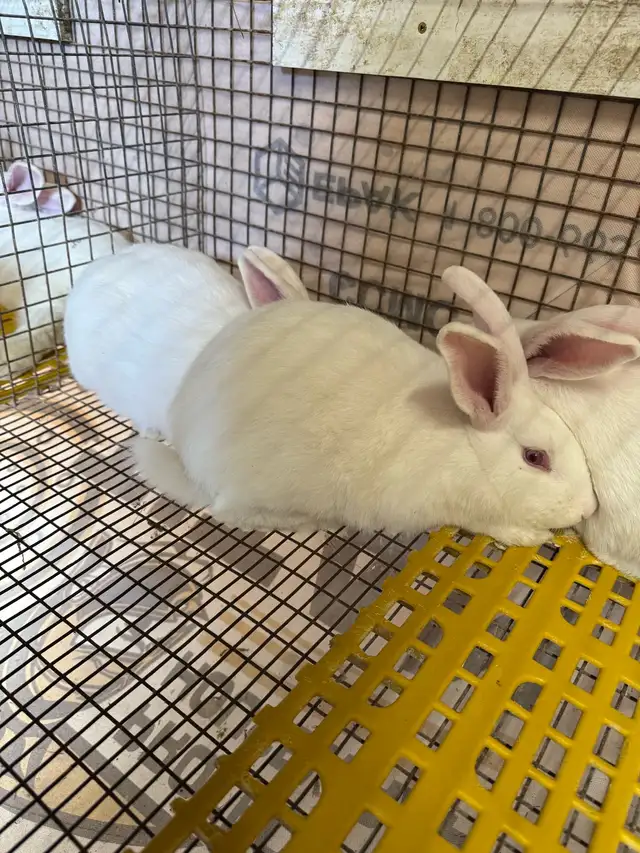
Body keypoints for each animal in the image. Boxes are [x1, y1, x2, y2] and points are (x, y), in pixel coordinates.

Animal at [130, 258, 597, 546]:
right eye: (535, 458)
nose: (587, 509)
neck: (465, 445)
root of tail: (189, 459)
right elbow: (491, 523)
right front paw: (531, 537)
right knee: (228, 511)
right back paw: (313, 521)